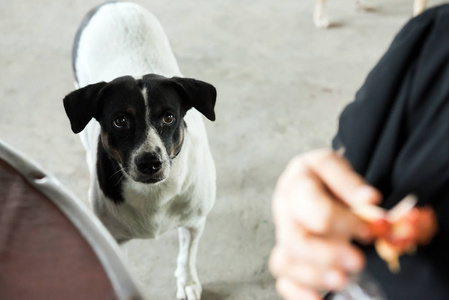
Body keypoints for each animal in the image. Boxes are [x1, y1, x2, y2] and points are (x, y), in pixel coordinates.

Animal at [63, 2, 217, 300]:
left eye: (169, 117)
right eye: (120, 121)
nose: (150, 163)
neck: (154, 195)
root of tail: (111, 5)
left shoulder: (194, 221)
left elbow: (187, 254)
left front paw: (187, 282)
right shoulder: (114, 238)